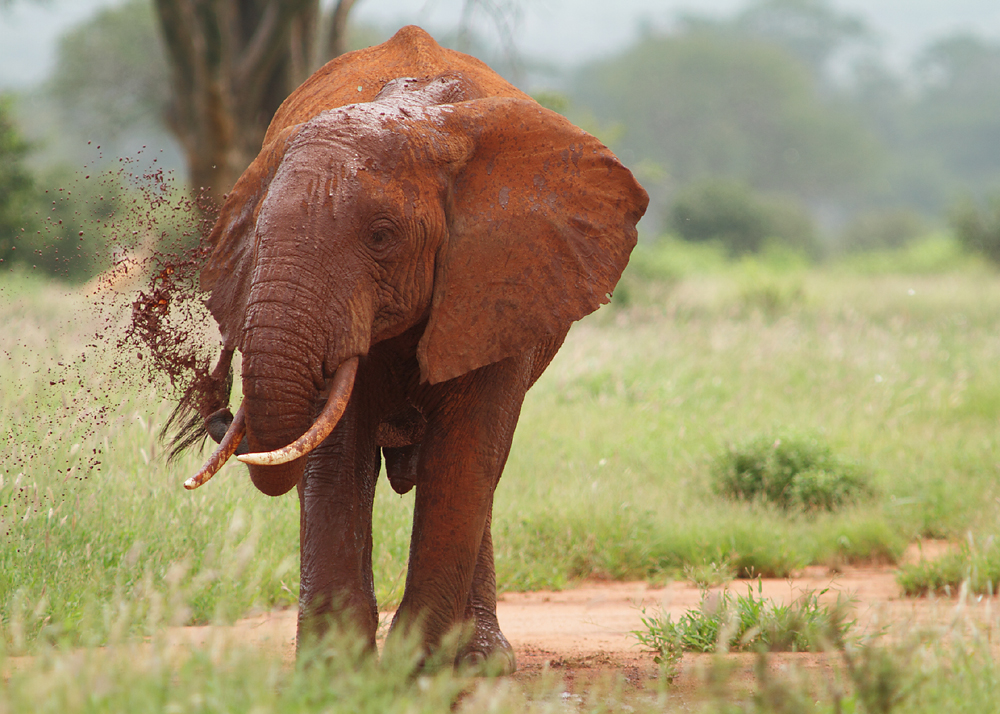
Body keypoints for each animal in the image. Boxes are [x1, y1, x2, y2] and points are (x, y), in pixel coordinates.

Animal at [179, 25, 648, 672]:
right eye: (257, 235)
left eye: (382, 237)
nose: (221, 412)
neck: (423, 121)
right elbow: (339, 451)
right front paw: (337, 670)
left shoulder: (498, 280)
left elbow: (467, 452)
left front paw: (413, 669)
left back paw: (480, 662)